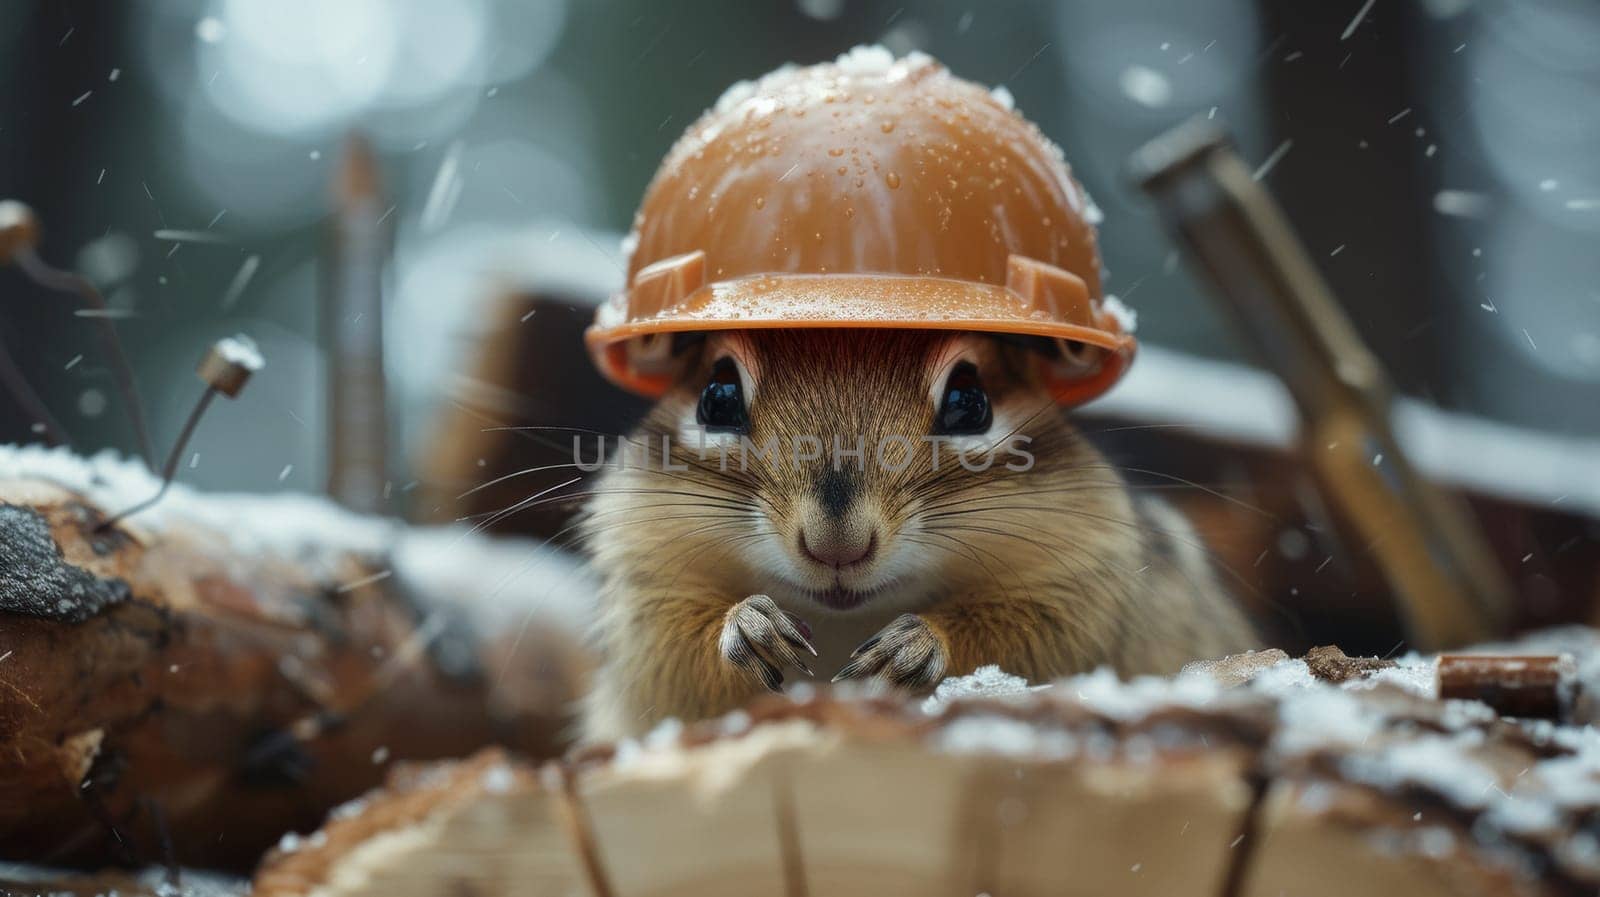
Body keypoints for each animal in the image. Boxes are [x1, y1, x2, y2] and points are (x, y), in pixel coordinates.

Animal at [582, 332, 1254, 738]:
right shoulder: (646, 593)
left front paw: (916, 646)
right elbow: (671, 666)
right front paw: (749, 626)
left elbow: (1038, 648)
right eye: (716, 397)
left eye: (969, 401)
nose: (837, 546)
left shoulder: (1082, 588)